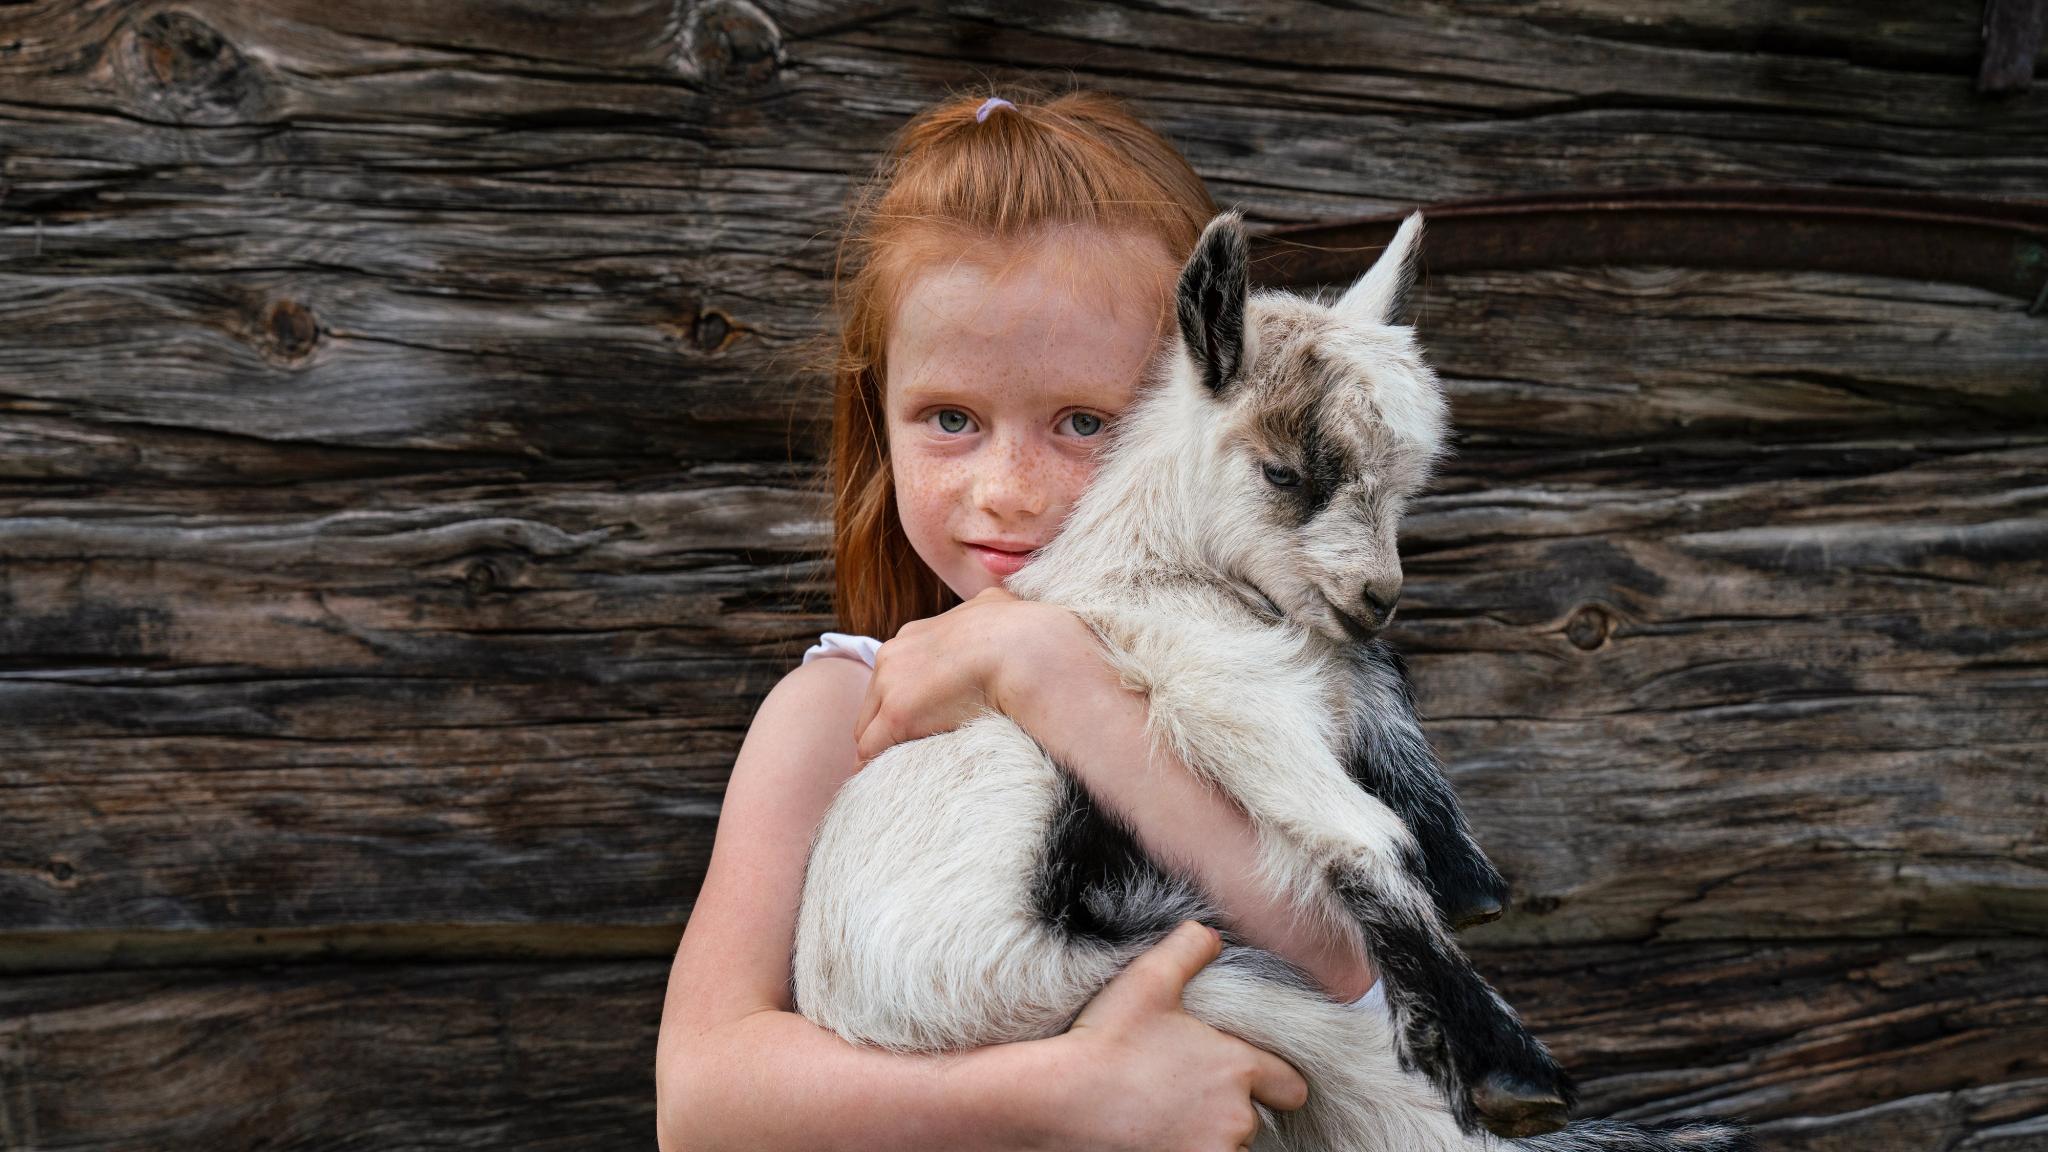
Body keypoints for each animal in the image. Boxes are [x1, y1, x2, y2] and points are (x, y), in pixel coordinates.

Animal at [792, 210, 1750, 1152]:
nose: (1378, 597)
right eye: (1283, 471)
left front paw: (1466, 876)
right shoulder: (1219, 693)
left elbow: (1368, 681)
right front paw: (1508, 1072)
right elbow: (1362, 837)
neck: (1152, 570)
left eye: (1403, 485)